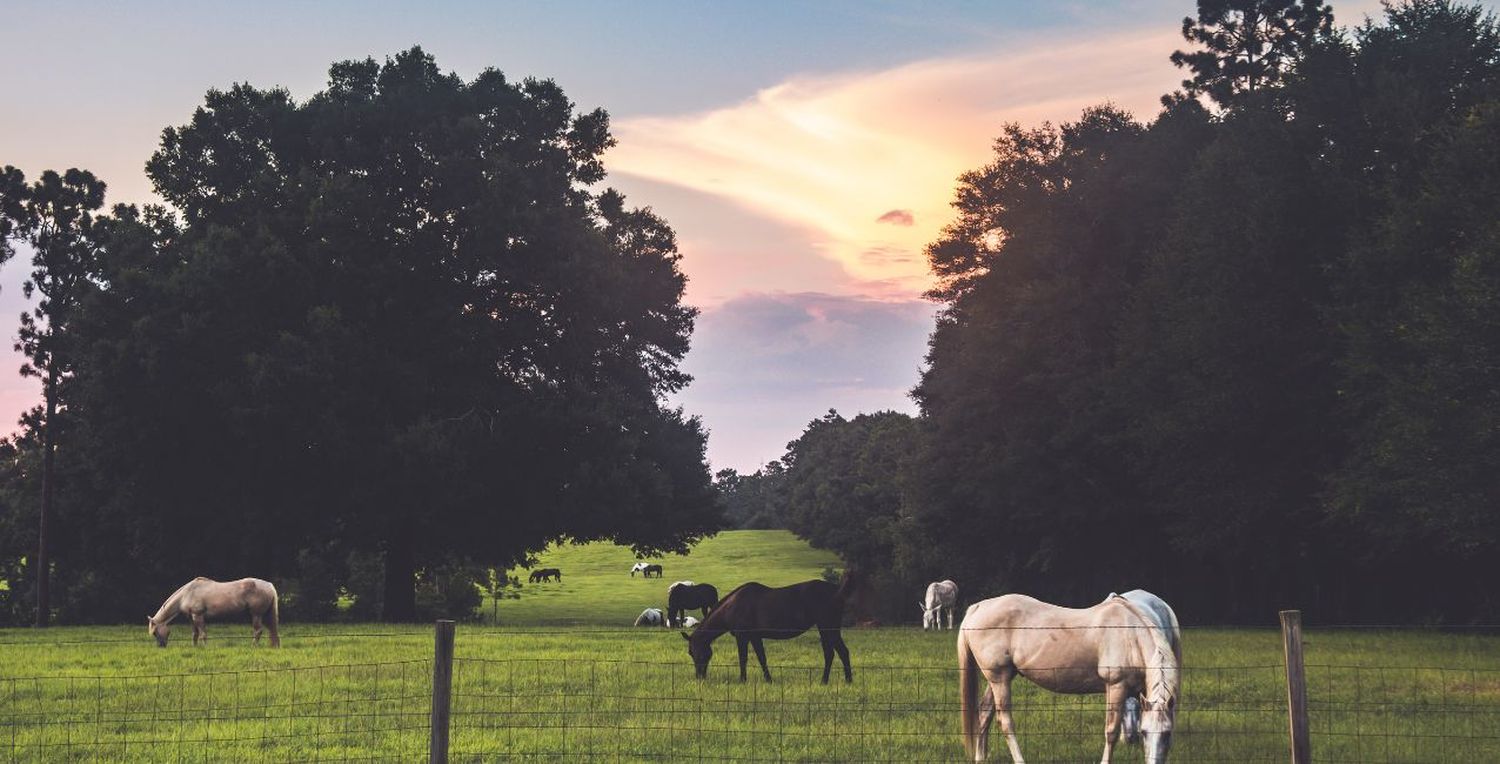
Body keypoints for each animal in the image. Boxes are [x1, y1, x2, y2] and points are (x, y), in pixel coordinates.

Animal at [150, 573, 283, 645]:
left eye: (155, 632)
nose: (161, 646)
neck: (186, 594)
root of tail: (269, 585)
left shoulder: (198, 616)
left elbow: (203, 634)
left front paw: (205, 647)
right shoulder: (192, 618)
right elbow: (195, 634)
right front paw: (195, 647)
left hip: (256, 615)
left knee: (258, 631)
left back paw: (253, 646)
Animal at [684, 570, 858, 681]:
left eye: (692, 652)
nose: (699, 677)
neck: (732, 606)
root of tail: (837, 590)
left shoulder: (742, 637)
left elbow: (743, 658)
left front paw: (742, 680)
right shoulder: (755, 637)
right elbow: (762, 658)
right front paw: (768, 679)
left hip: (827, 628)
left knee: (834, 653)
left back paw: (830, 680)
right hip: (829, 629)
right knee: (838, 652)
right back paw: (842, 680)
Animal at [960, 588, 1182, 762]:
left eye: (1167, 734)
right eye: (1144, 732)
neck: (1131, 636)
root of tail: (978, 607)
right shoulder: (1116, 687)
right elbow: (1111, 731)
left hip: (998, 678)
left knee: (984, 713)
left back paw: (980, 757)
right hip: (999, 679)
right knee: (1005, 722)